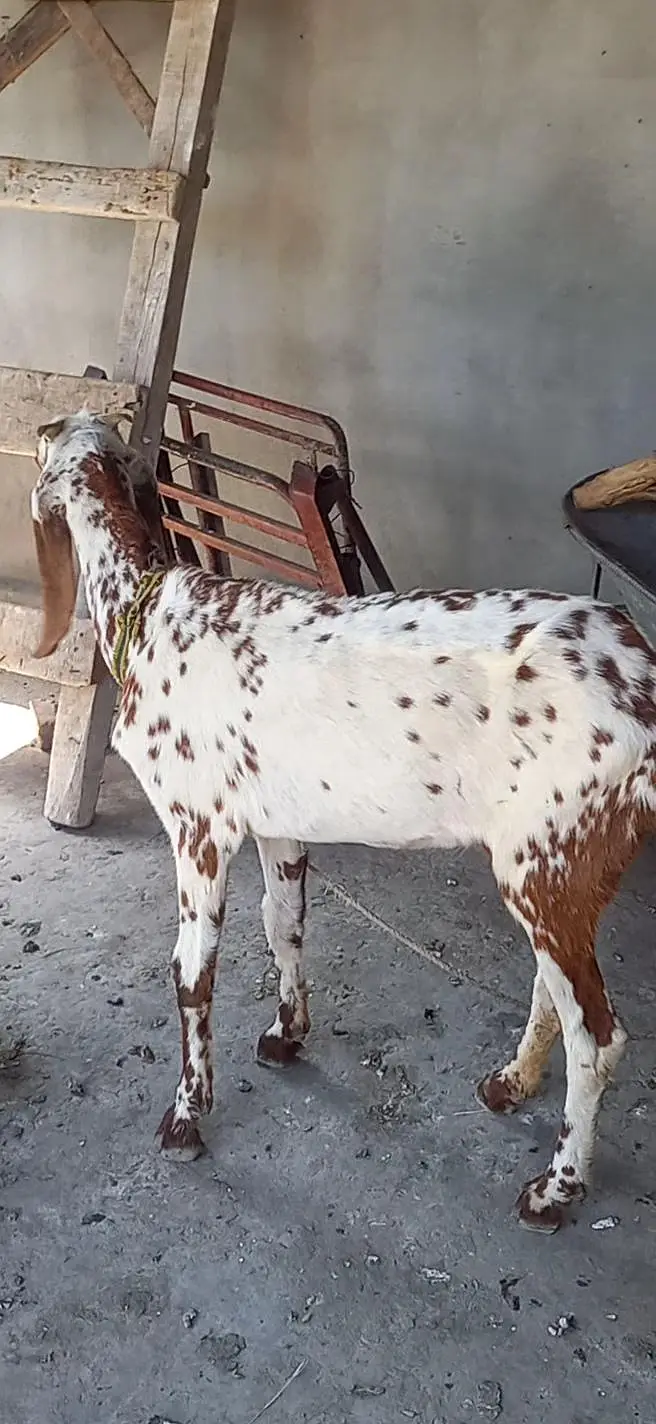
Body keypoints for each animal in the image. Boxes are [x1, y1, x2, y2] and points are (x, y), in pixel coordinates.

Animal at [30, 411, 656, 1232]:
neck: (150, 611)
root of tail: (644, 678)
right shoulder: (277, 823)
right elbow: (284, 924)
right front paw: (286, 1035)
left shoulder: (198, 828)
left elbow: (191, 974)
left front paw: (187, 1115)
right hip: (561, 868)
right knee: (555, 989)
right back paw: (511, 1083)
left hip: (549, 859)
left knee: (600, 1039)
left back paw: (555, 1189)